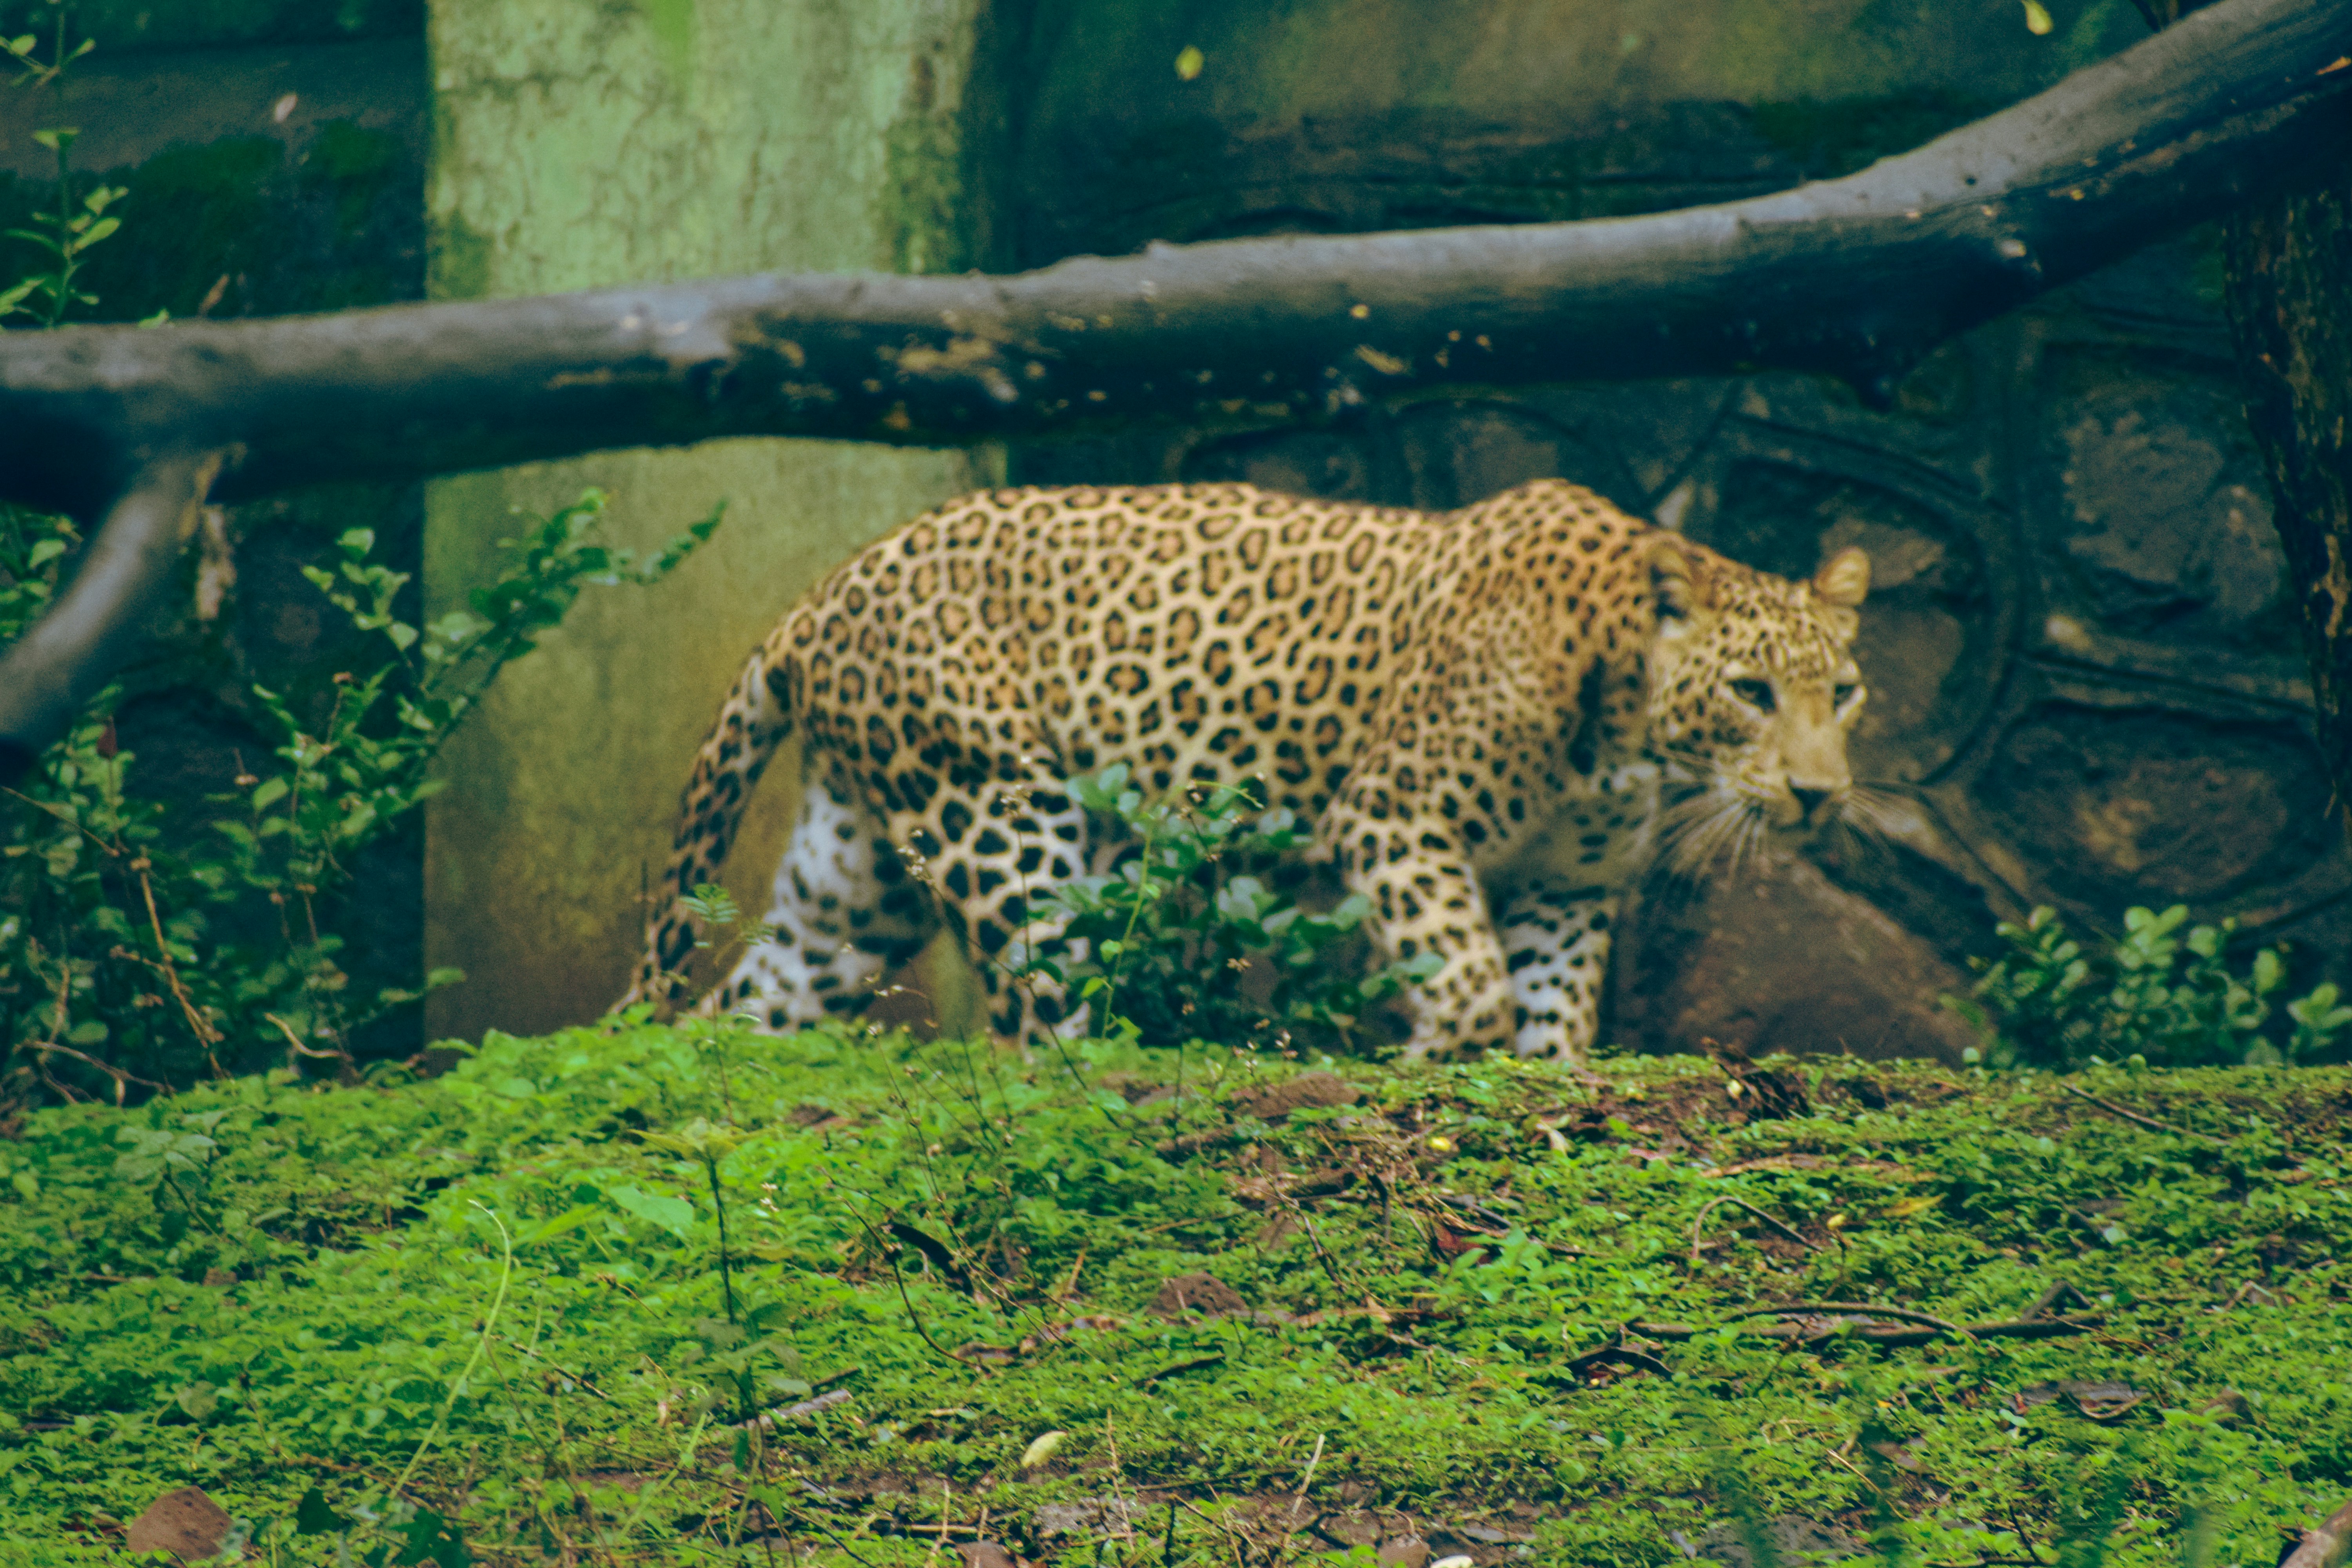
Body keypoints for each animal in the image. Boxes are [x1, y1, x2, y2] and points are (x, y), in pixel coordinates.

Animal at [615, 477, 1871, 1067]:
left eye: (1844, 694)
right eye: (1752, 692)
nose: (1821, 794)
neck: (1625, 732)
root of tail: (822, 593)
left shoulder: (1566, 890)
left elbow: (1551, 1015)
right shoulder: (1395, 818)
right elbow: (1471, 980)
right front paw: (1422, 1062)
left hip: (860, 874)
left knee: (748, 1000)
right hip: (1003, 817)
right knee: (1034, 1024)